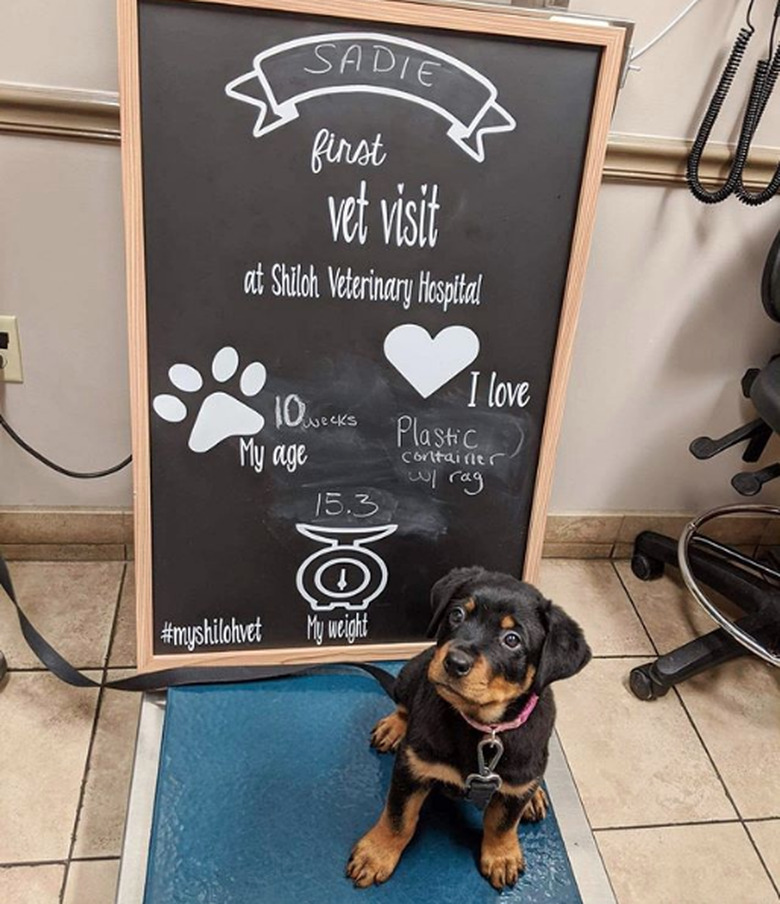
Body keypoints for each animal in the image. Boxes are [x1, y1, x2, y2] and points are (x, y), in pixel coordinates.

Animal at [344, 564, 588, 888]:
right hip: (414, 670)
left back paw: (534, 796)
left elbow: (502, 822)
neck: (482, 728)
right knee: (403, 703)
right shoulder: (413, 768)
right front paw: (375, 854)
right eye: (457, 614)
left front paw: (502, 856)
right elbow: (399, 816)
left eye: (512, 639)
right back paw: (393, 727)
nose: (454, 662)